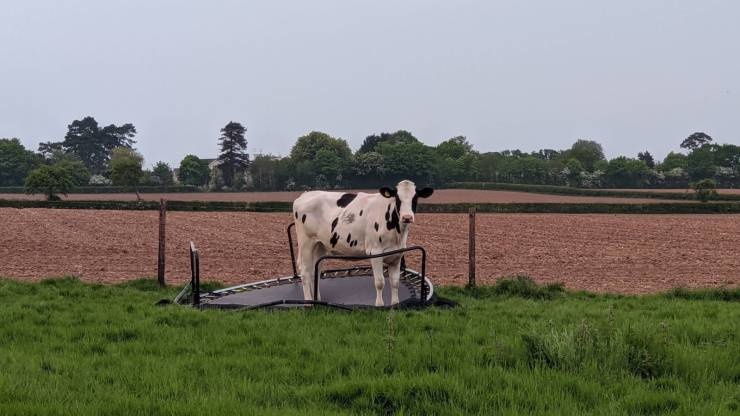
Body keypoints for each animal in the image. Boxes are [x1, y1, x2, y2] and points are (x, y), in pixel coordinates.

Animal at [292, 179, 434, 306]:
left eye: (415, 198)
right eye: (397, 198)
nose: (407, 217)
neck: (396, 232)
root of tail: (305, 194)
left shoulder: (397, 255)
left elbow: (395, 282)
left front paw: (395, 304)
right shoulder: (375, 253)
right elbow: (379, 282)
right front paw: (379, 305)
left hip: (320, 245)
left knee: (314, 272)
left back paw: (317, 300)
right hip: (306, 243)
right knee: (305, 272)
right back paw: (308, 303)